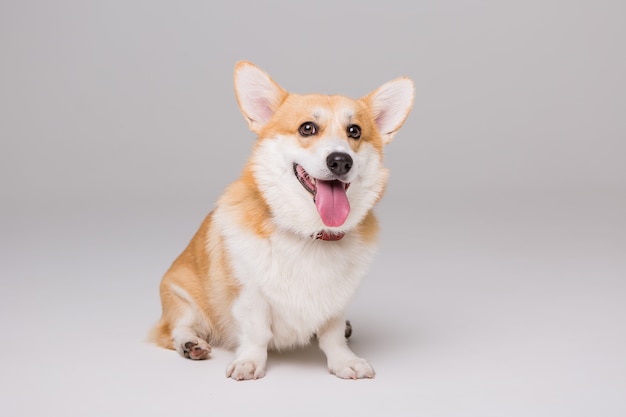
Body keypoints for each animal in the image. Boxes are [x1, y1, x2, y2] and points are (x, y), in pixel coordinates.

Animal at [149, 60, 414, 378]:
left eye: (354, 131)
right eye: (307, 128)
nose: (341, 161)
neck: (311, 234)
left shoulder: (337, 300)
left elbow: (333, 334)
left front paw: (344, 360)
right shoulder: (250, 294)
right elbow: (257, 332)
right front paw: (250, 362)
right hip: (180, 294)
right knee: (176, 328)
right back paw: (191, 344)